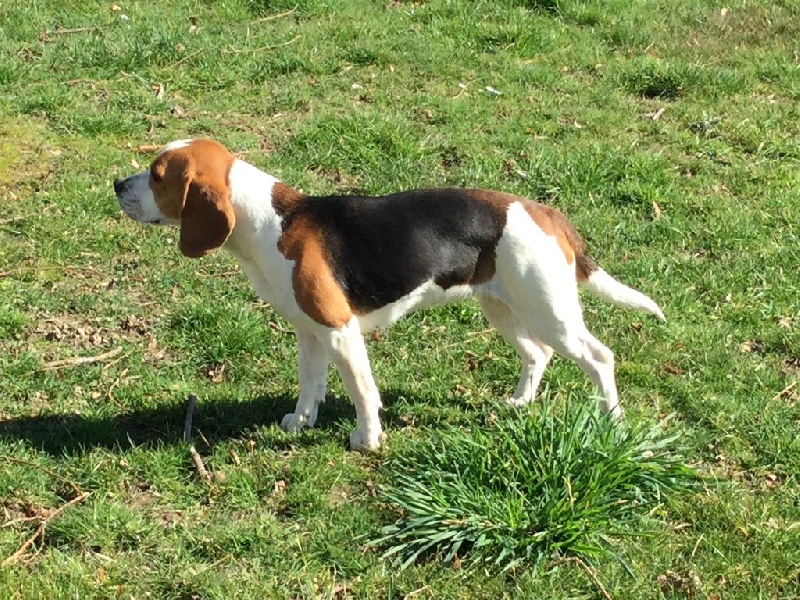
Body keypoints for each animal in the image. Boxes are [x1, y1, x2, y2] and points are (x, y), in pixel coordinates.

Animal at [112, 139, 664, 450]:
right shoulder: (308, 331)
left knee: (600, 357)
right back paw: (518, 402)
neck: (271, 221)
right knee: (538, 354)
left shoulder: (339, 330)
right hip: (503, 306)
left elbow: (362, 392)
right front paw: (301, 423)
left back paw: (612, 421)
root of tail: (546, 212)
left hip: (550, 310)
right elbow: (310, 384)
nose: (117, 183)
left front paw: (367, 440)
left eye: (157, 176)